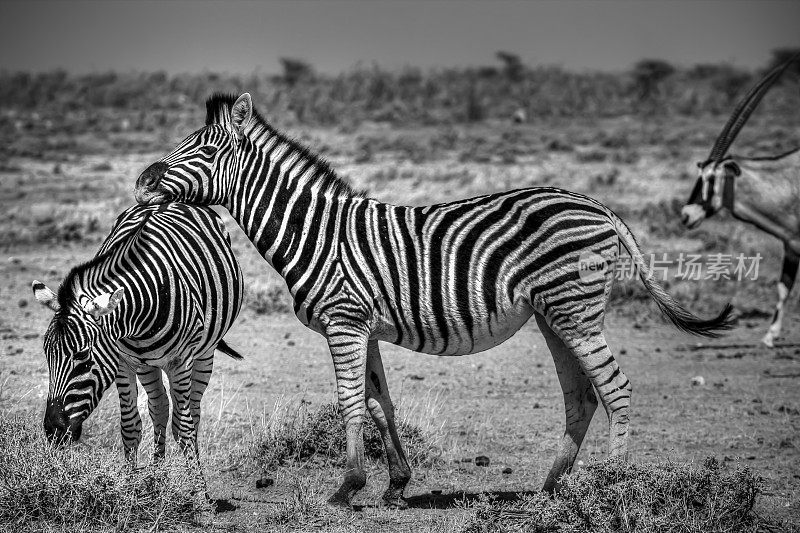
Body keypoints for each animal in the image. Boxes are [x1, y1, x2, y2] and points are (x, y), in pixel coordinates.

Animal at [32, 202, 244, 464]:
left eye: (82, 357)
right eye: (47, 354)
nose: (53, 431)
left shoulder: (180, 362)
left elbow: (184, 429)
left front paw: (196, 476)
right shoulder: (122, 362)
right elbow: (130, 427)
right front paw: (136, 476)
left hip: (206, 352)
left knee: (193, 410)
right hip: (146, 365)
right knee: (159, 406)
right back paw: (157, 467)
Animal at [134, 92, 736, 508]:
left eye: (202, 149)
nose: (142, 181)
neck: (315, 231)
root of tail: (597, 204)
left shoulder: (344, 321)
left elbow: (350, 401)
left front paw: (347, 486)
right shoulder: (363, 325)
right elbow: (380, 401)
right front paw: (395, 484)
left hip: (575, 310)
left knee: (615, 388)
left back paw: (613, 486)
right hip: (553, 314)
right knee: (582, 395)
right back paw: (549, 486)